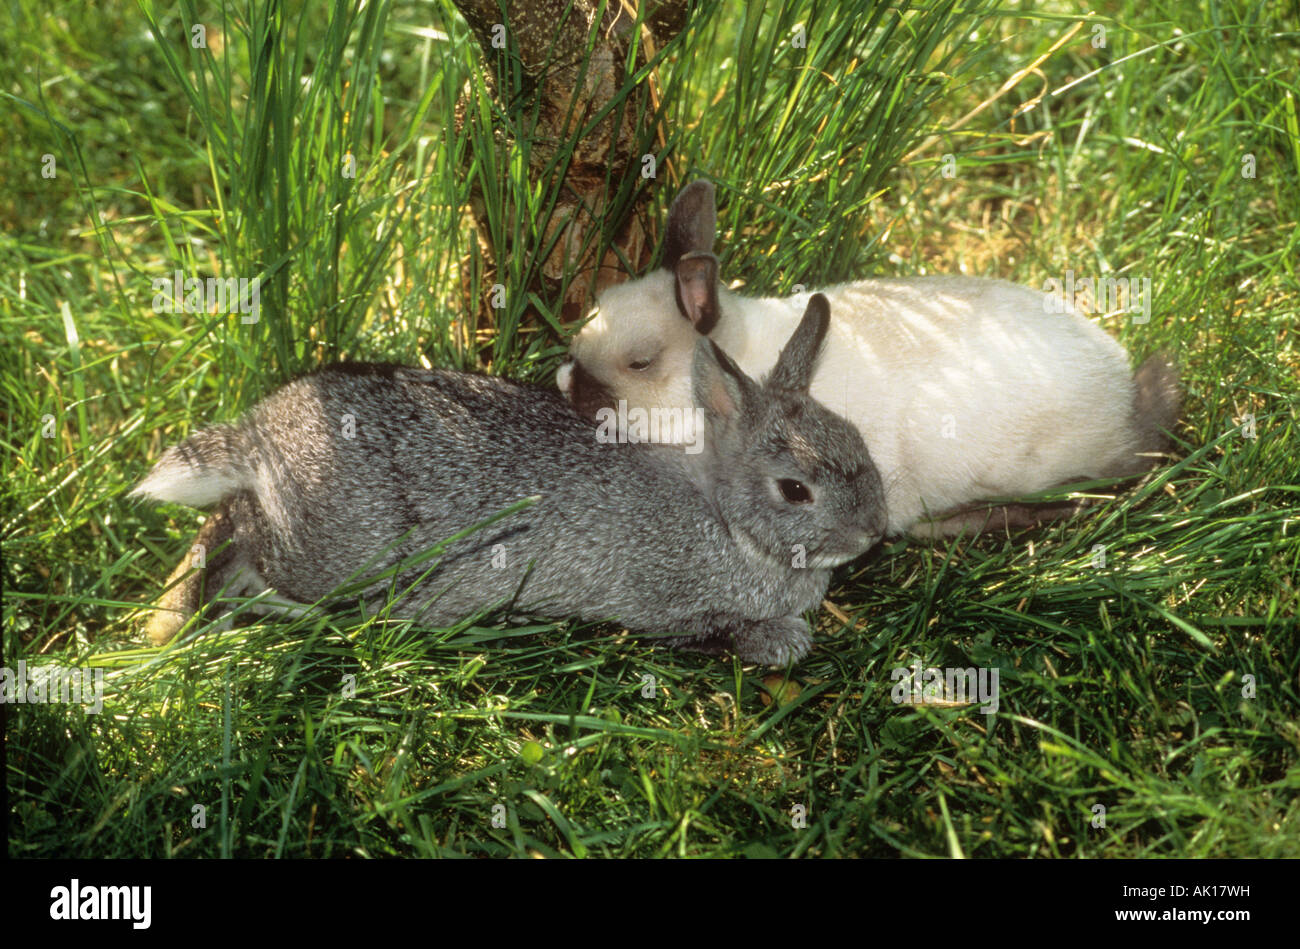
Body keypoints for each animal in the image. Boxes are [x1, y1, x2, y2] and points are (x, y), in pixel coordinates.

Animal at [132, 295, 888, 666]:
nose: (872, 533)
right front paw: (782, 642)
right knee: (239, 541)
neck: (727, 520)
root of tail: (259, 436)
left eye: (857, 441)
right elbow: (717, 632)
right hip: (325, 550)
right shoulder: (669, 608)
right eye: (796, 490)